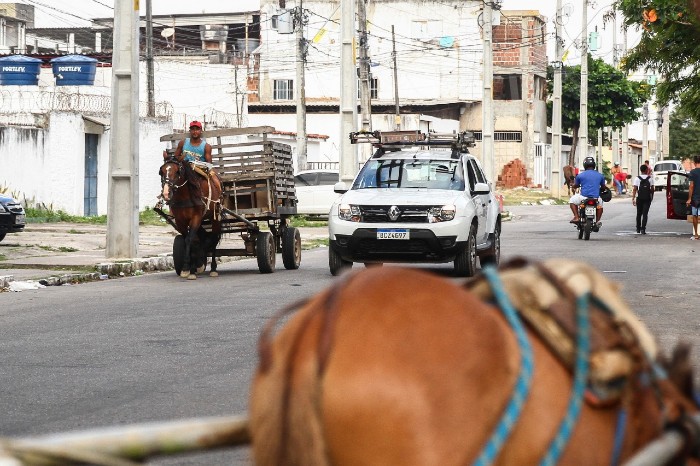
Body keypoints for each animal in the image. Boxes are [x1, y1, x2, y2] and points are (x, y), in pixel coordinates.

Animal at [154, 125, 300, 276]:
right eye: (161, 171)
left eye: (178, 171)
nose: (166, 193)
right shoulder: (180, 220)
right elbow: (188, 240)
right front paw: (192, 266)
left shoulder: (196, 217)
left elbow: (190, 239)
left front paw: (190, 267)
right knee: (205, 238)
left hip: (215, 217)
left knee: (215, 238)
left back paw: (213, 268)